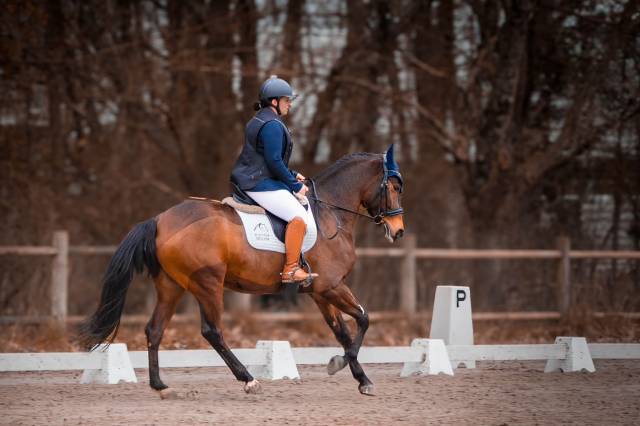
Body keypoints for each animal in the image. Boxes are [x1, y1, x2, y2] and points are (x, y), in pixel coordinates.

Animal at [79, 145, 405, 397]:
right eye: (392, 188)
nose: (399, 231)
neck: (331, 214)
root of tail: (160, 220)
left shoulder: (320, 291)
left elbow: (343, 332)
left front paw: (360, 378)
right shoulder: (332, 286)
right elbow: (363, 320)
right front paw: (341, 365)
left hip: (171, 285)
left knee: (154, 329)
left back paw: (161, 385)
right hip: (208, 284)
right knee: (212, 331)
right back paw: (249, 380)